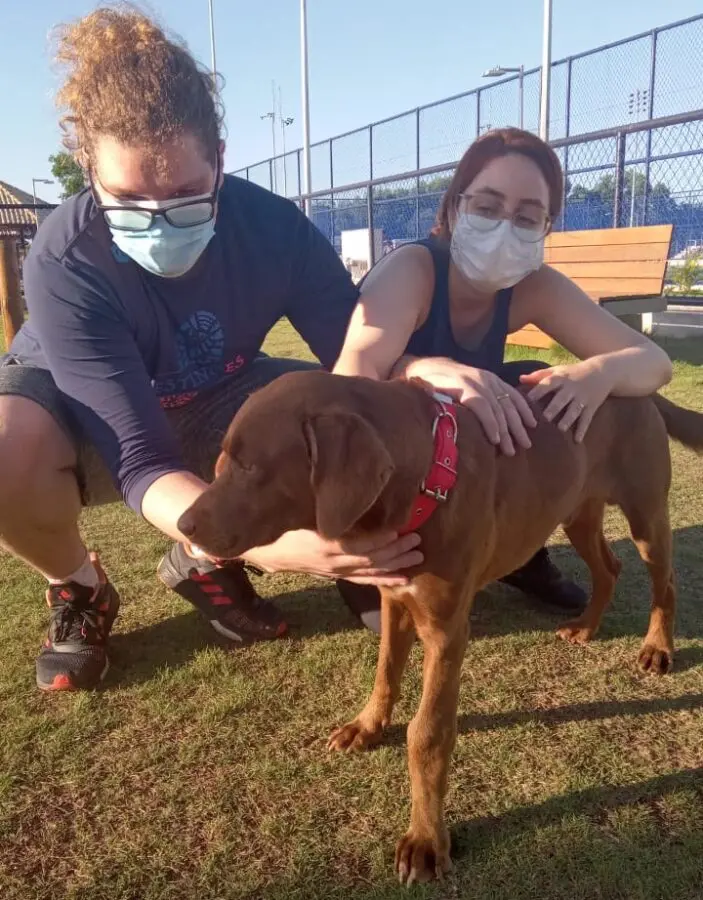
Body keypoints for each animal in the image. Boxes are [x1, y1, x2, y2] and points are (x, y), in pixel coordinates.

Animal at [177, 368, 703, 886]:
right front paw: (366, 726)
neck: (425, 483)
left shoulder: (447, 631)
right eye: (223, 460)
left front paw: (426, 840)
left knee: (665, 581)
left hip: (645, 514)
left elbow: (427, 734)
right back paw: (587, 626)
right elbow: (385, 675)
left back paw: (657, 648)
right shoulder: (394, 602)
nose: (183, 526)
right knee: (609, 568)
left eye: (249, 467)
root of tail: (631, 387)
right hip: (577, 510)